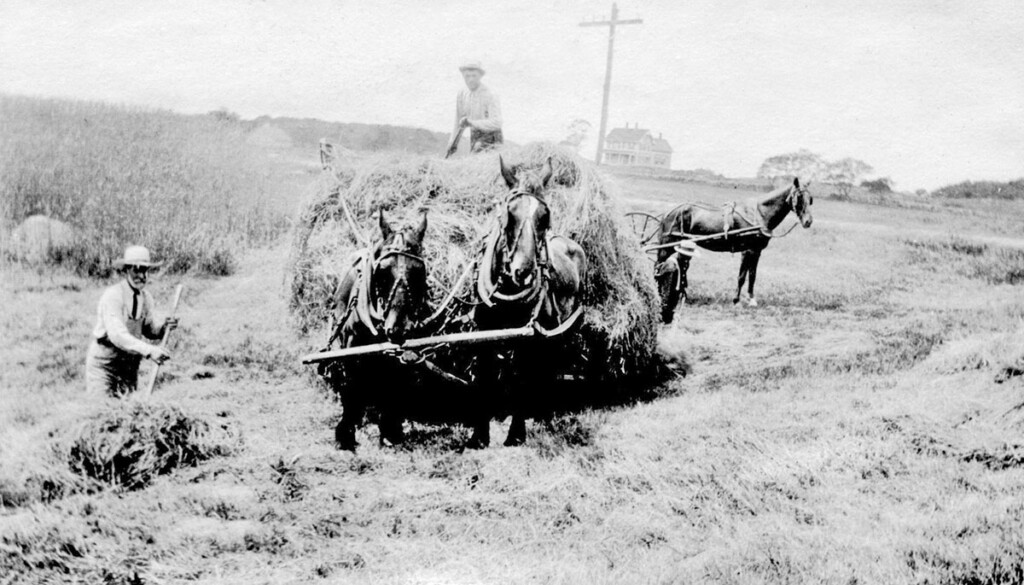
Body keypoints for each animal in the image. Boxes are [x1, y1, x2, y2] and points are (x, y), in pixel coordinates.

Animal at [468, 155, 589, 448]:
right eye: (509, 213)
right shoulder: (482, 335)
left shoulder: (529, 338)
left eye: (545, 216)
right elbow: (485, 377)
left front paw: (516, 433)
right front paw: (479, 435)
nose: (522, 271)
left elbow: (522, 379)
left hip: (562, 332)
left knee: (550, 369)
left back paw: (545, 414)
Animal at [655, 176, 815, 323]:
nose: (808, 221)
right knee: (659, 267)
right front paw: (741, 300)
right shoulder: (749, 251)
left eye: (811, 198)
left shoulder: (756, 251)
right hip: (667, 246)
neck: (759, 213)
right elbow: (744, 276)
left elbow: (750, 276)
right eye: (799, 197)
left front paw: (746, 299)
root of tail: (668, 212)